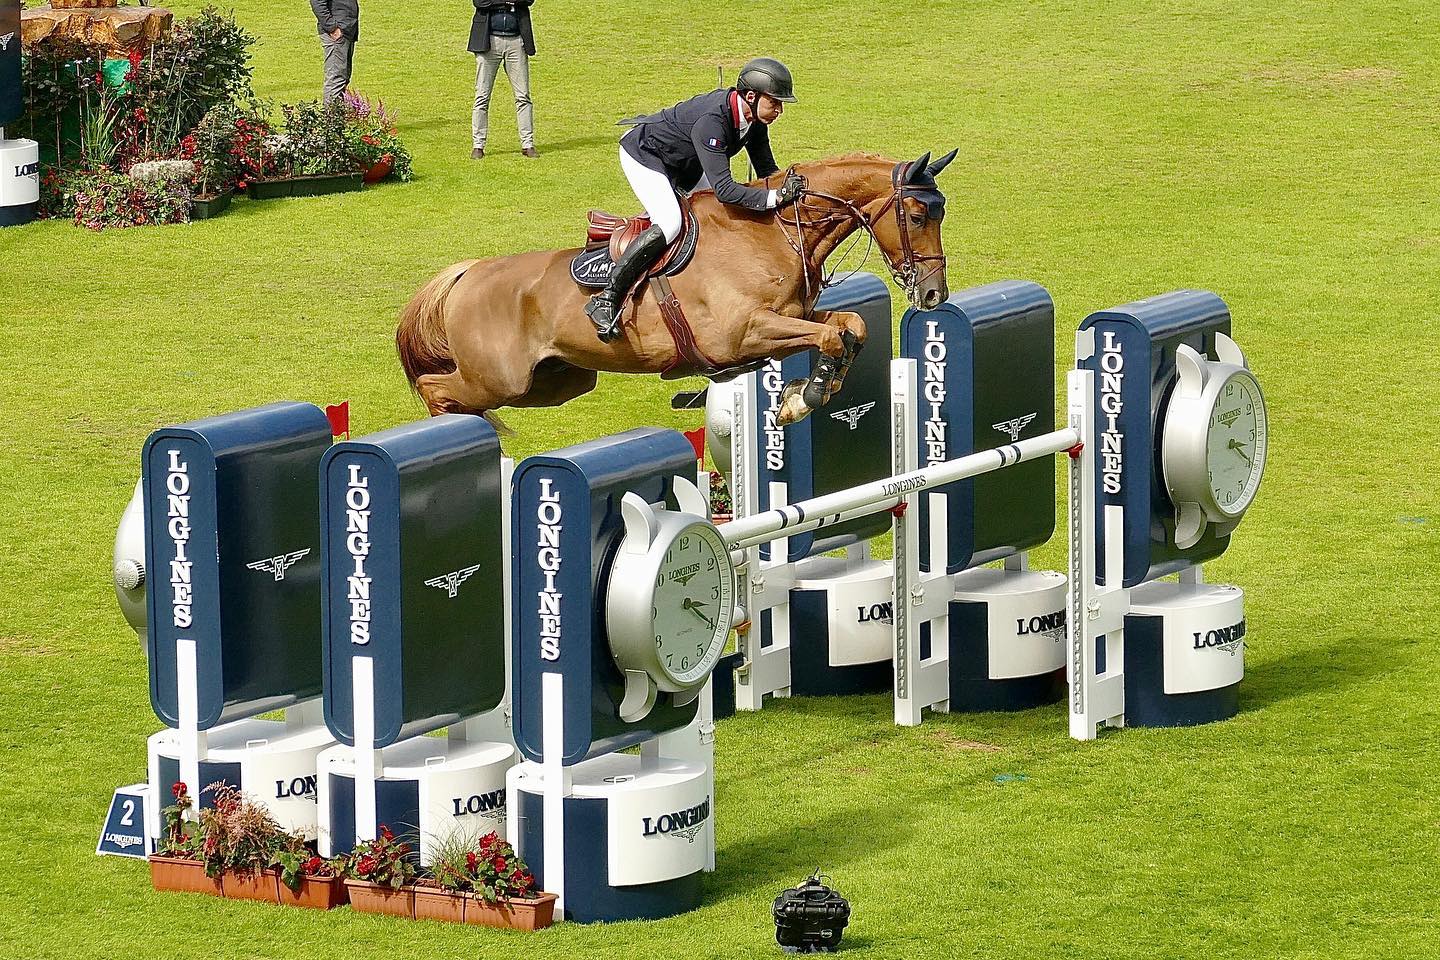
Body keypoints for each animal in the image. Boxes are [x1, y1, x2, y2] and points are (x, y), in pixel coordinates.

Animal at [400, 151, 950, 428]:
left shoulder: (789, 317)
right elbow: (833, 336)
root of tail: (468, 273)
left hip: (557, 383)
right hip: (500, 379)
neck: (773, 232)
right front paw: (807, 395)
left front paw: (805, 394)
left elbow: (848, 326)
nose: (933, 297)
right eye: (917, 215)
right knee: (435, 387)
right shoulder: (745, 333)